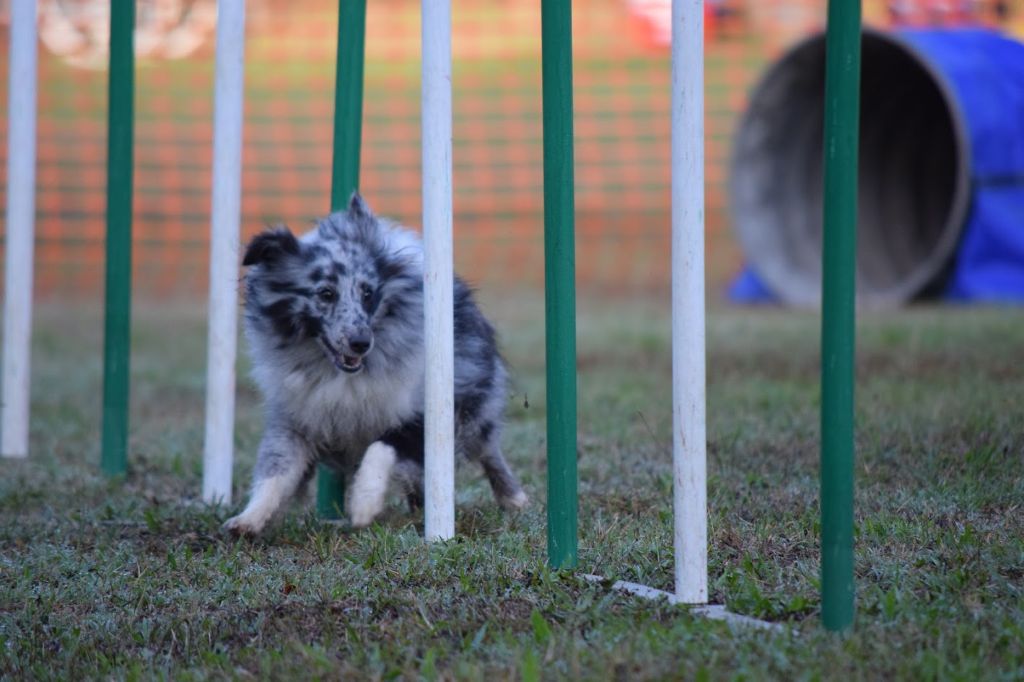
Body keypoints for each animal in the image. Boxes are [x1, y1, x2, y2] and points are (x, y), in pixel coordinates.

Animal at [224, 193, 528, 532]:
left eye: (368, 292)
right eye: (325, 293)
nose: (361, 342)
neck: (339, 374)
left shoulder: (419, 414)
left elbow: (380, 448)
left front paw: (364, 503)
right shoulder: (298, 418)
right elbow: (276, 470)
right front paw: (247, 519)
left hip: (475, 404)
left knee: (489, 452)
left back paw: (513, 499)